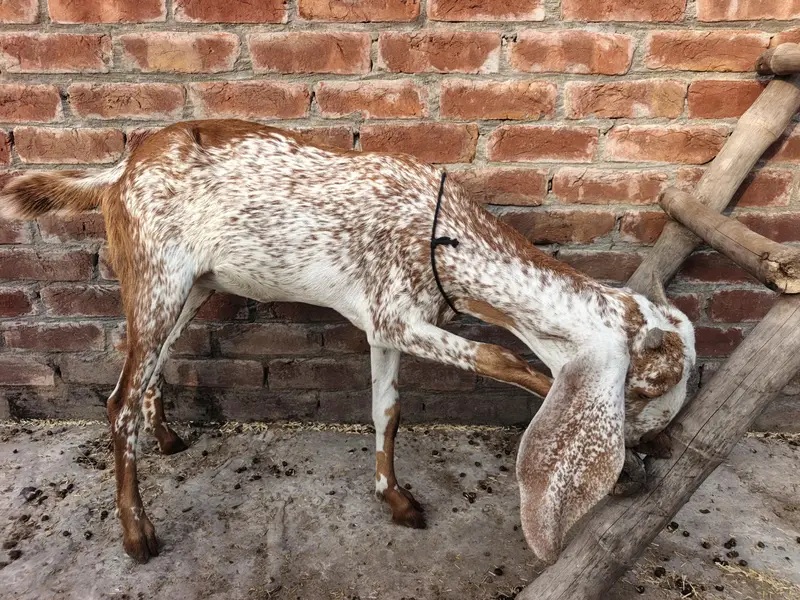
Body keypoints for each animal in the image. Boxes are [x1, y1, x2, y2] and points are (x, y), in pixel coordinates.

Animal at [0, 119, 695, 566]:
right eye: (645, 393)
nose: (657, 447)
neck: (444, 235)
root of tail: (123, 165)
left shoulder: (385, 322)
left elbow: (387, 409)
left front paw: (397, 499)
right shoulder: (396, 316)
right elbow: (498, 356)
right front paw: (622, 469)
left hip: (187, 285)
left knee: (150, 368)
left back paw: (167, 436)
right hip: (154, 276)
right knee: (117, 398)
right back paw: (137, 534)